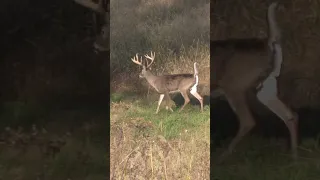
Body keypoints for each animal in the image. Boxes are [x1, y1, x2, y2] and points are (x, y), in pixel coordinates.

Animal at [211, 2, 298, 163]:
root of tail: (267, 43)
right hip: (266, 88)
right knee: (291, 116)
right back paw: (294, 157)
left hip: (234, 86)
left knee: (248, 121)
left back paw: (223, 156)